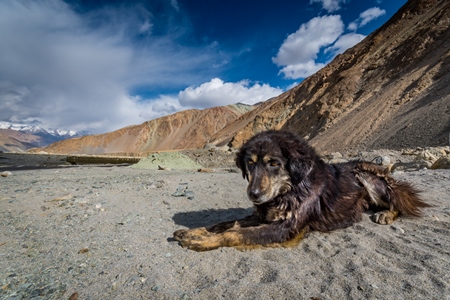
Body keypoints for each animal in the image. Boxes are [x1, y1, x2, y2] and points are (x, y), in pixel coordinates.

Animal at [173, 131, 428, 251]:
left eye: (274, 163)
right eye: (250, 163)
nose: (254, 195)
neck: (291, 189)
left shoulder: (286, 227)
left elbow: (233, 233)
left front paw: (201, 242)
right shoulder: (261, 215)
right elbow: (223, 224)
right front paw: (194, 233)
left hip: (368, 175)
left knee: (398, 201)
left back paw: (386, 213)